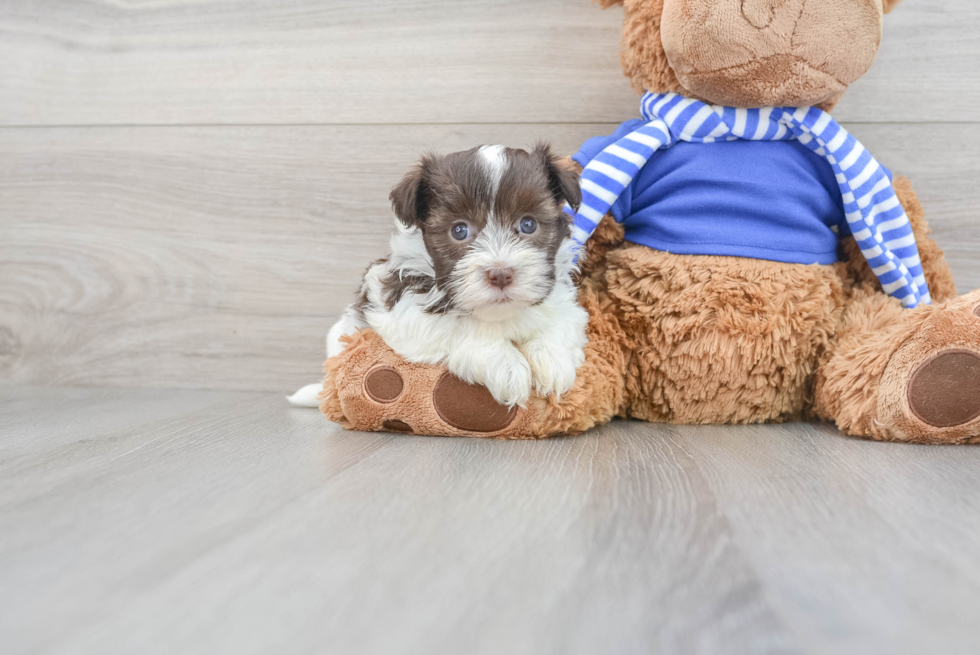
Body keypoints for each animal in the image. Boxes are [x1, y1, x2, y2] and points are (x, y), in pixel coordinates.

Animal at [288, 144, 584, 410]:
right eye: (459, 230)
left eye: (528, 224)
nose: (501, 274)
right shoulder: (401, 310)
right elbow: (460, 326)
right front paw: (507, 365)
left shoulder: (564, 302)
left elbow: (562, 321)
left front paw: (553, 360)